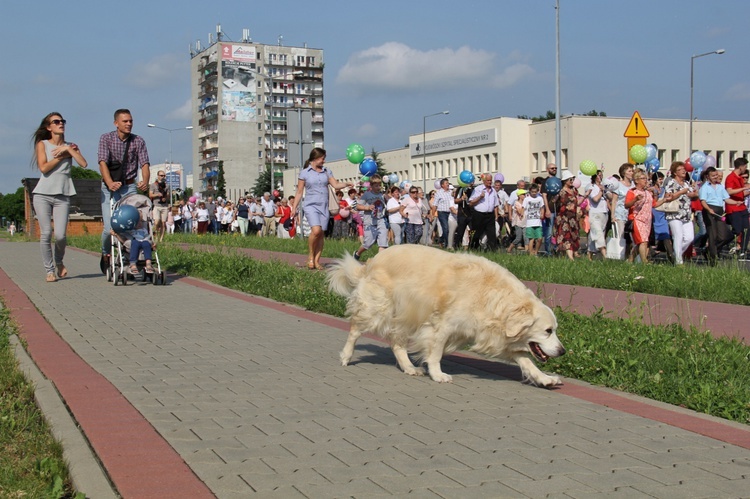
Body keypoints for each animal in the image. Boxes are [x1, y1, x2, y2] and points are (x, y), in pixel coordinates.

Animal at [326, 245, 568, 386]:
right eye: (548, 331)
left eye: (555, 330)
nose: (563, 351)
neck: (495, 296)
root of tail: (372, 260)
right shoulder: (442, 326)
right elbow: (435, 353)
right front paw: (437, 374)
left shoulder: (496, 334)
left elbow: (526, 360)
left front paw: (545, 378)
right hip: (379, 307)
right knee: (355, 329)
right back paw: (346, 356)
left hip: (405, 315)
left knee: (396, 343)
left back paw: (409, 367)